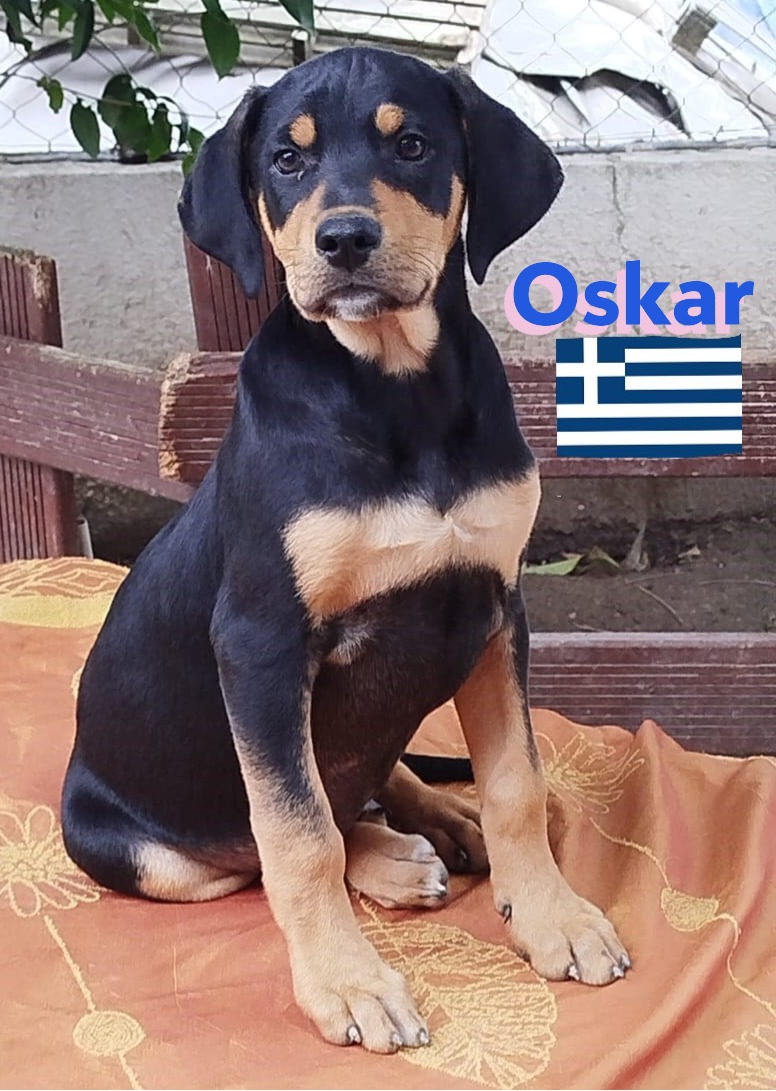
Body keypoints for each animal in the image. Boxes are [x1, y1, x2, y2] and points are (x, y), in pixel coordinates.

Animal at [62, 46, 630, 1054]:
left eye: (412, 146)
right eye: (286, 162)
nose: (345, 240)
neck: (396, 389)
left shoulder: (495, 605)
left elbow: (517, 782)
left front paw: (553, 915)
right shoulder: (260, 642)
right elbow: (297, 835)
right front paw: (346, 982)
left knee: (369, 774)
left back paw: (438, 819)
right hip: (141, 850)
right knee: (267, 841)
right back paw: (397, 859)